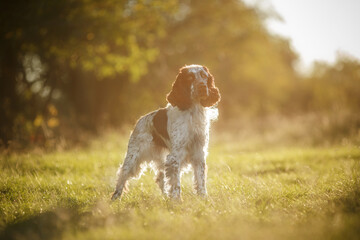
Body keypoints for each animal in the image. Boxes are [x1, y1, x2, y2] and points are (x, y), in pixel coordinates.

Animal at [111, 64, 221, 201]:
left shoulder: (199, 152)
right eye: (190, 77)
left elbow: (200, 179)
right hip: (134, 157)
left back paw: (165, 197)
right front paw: (177, 200)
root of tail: (140, 120)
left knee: (160, 178)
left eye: (204, 76)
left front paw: (203, 198)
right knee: (123, 173)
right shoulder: (175, 155)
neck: (193, 112)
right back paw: (115, 197)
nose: (202, 86)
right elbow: (176, 183)